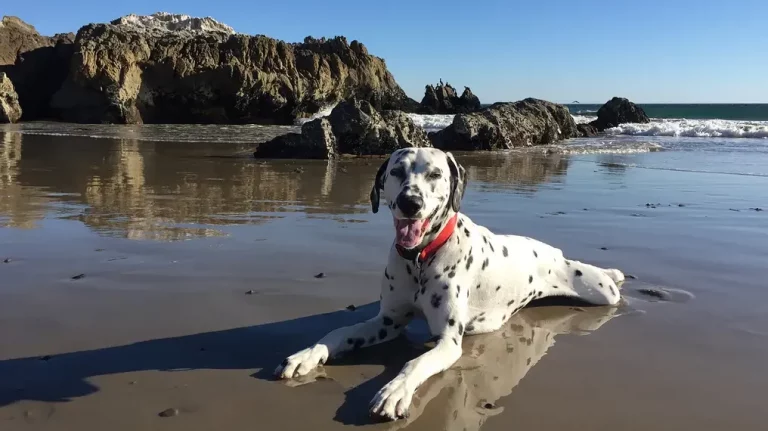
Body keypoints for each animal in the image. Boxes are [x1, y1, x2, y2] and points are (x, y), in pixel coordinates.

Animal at [276, 148, 624, 422]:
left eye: (435, 174)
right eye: (396, 172)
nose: (410, 202)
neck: (421, 258)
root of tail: (551, 251)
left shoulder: (448, 341)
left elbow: (414, 362)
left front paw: (394, 391)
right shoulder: (387, 322)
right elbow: (340, 331)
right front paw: (307, 355)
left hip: (600, 291)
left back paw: (614, 272)